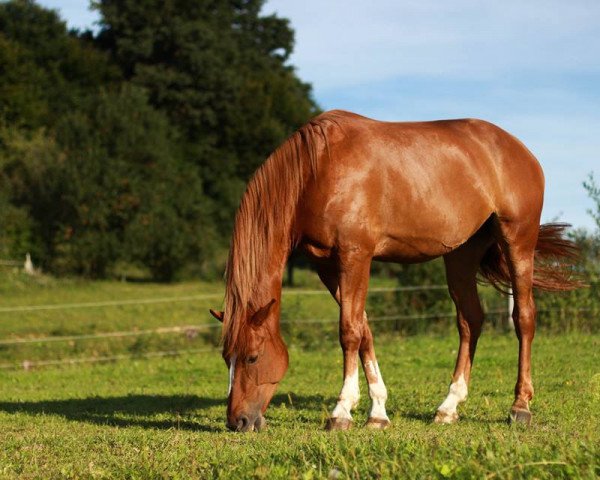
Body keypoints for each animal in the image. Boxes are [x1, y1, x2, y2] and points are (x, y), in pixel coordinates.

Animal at [210, 110, 576, 434]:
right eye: (226, 357)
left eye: (252, 358)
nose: (238, 421)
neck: (317, 169)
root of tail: (519, 150)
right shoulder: (327, 265)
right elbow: (364, 330)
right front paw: (377, 412)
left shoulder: (355, 255)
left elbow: (349, 332)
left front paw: (341, 411)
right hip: (461, 255)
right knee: (470, 320)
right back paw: (448, 408)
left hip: (518, 240)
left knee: (524, 318)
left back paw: (520, 407)